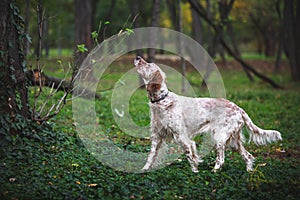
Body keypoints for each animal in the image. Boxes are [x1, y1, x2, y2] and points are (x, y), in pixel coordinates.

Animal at [135, 55, 282, 172]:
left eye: (148, 65)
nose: (137, 57)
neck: (162, 100)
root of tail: (238, 108)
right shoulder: (156, 136)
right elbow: (151, 156)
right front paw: (144, 170)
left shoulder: (182, 137)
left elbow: (190, 156)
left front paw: (195, 172)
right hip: (234, 141)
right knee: (248, 156)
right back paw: (249, 172)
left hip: (220, 137)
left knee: (221, 159)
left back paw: (214, 171)